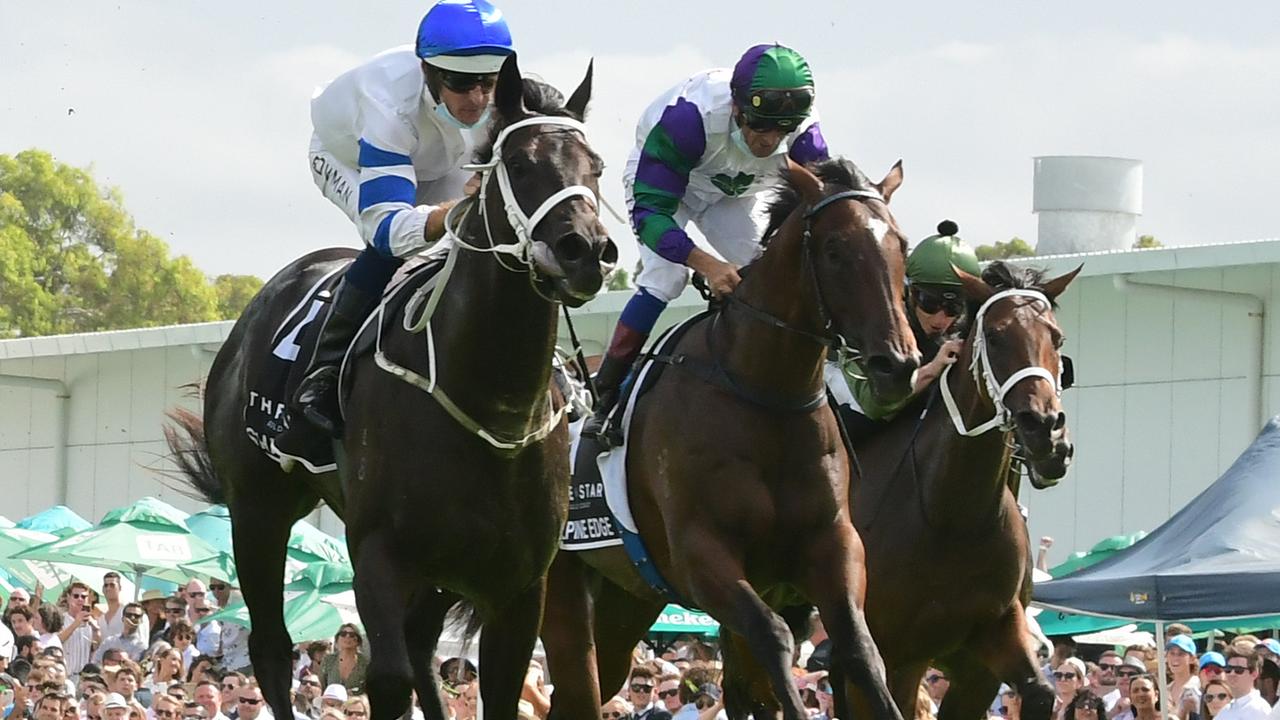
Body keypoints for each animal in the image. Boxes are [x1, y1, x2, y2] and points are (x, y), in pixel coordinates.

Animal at [163, 54, 614, 717]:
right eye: (520, 164)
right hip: (258, 509)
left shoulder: (518, 581)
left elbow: (496, 688)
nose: (586, 250)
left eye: (596, 166)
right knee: (273, 648)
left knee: (422, 646)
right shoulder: (377, 551)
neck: (491, 403)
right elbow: (387, 680)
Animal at [545, 156, 926, 717]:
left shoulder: (832, 543)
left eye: (900, 244)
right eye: (834, 249)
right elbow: (772, 638)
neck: (764, 394)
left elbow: (859, 649)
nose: (896, 365)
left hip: (627, 598)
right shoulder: (702, 554)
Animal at [727, 258, 1075, 717]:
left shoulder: (985, 653)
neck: (952, 517)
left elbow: (1039, 692)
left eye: (1057, 337)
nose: (1046, 431)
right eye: (997, 337)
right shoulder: (896, 658)